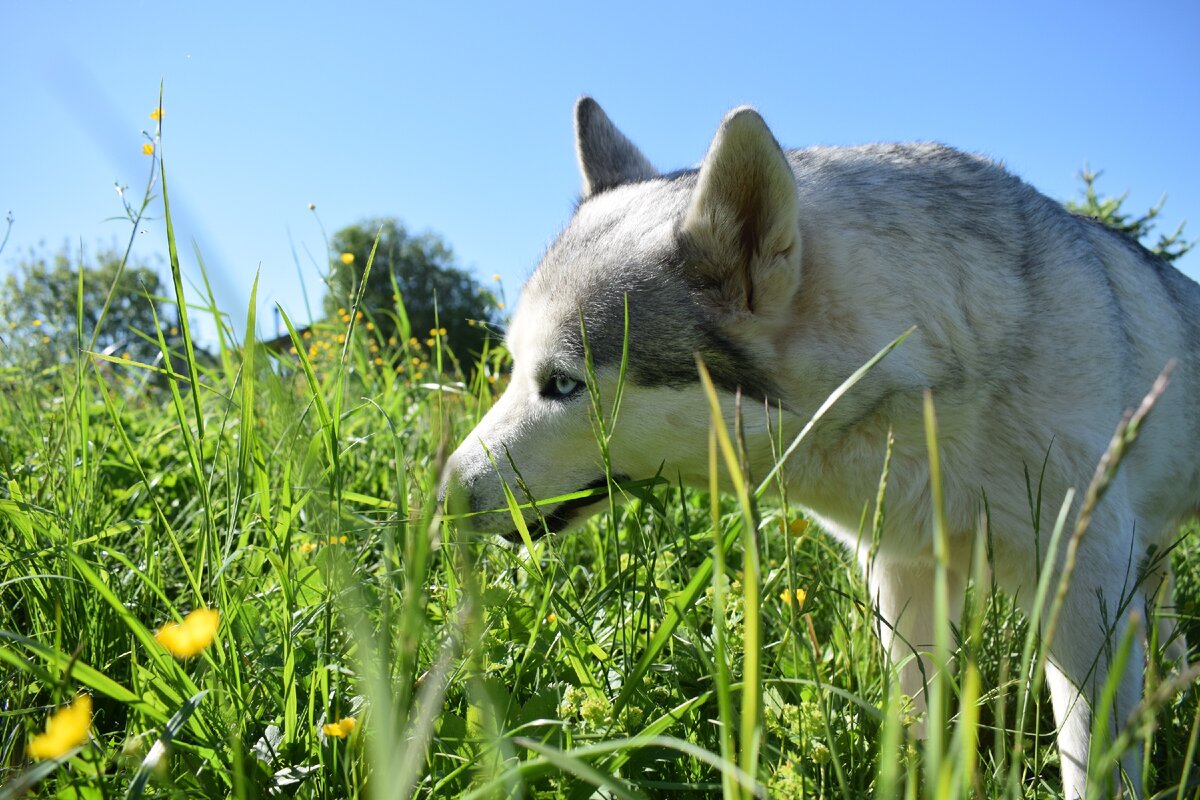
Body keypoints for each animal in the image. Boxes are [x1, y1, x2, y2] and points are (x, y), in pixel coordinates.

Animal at [444, 97, 1200, 796]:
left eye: (563, 383)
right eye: (515, 368)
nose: (442, 495)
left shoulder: (1082, 592)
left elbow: (1093, 763)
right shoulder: (905, 576)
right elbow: (917, 725)